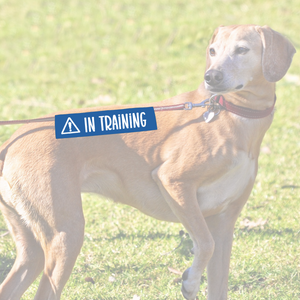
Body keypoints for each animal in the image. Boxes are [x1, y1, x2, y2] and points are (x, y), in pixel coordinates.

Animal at [0, 24, 296, 298]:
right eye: (213, 51)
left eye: (242, 49)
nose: (211, 76)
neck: (229, 113)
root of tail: (11, 142)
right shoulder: (174, 183)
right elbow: (205, 244)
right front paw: (190, 282)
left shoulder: (224, 223)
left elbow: (217, 275)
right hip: (66, 235)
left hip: (33, 249)